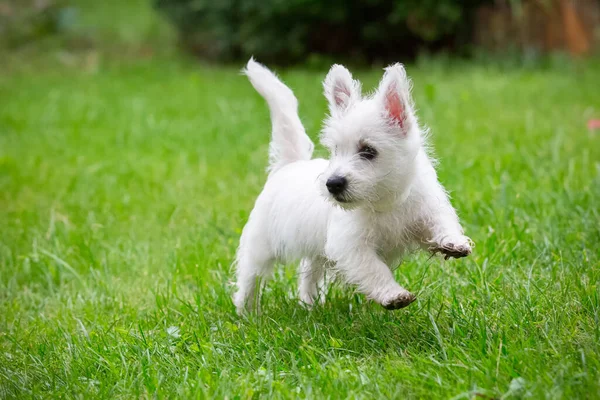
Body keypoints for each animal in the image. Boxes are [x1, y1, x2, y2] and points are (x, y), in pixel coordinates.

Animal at [232, 59, 472, 314]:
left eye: (368, 151)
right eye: (335, 150)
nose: (332, 184)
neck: (384, 201)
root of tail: (289, 165)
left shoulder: (428, 210)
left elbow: (442, 224)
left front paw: (454, 243)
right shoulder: (351, 246)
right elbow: (374, 269)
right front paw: (393, 294)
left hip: (316, 251)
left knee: (309, 274)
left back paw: (310, 305)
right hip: (260, 247)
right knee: (250, 278)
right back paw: (247, 312)